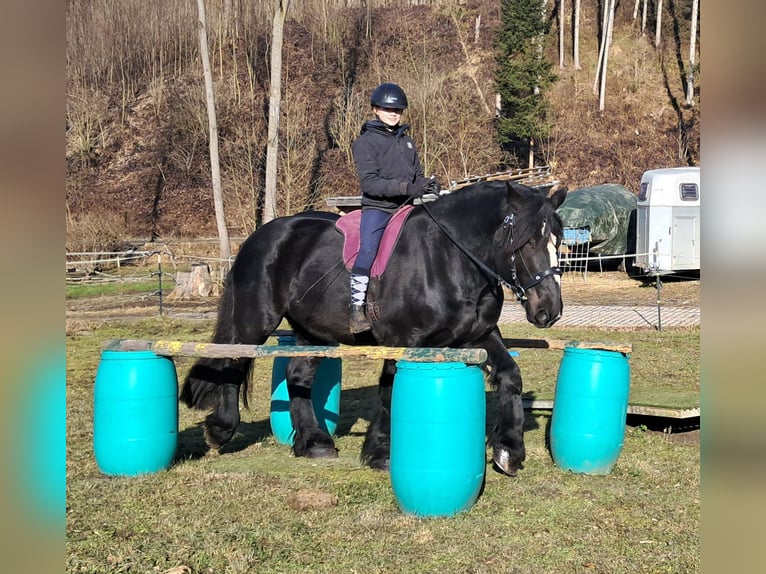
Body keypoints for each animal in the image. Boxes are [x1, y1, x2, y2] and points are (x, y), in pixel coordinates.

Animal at [183, 180, 568, 476]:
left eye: (557, 241)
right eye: (527, 241)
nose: (548, 310)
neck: (450, 259)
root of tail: (261, 235)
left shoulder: (479, 336)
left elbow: (510, 375)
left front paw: (509, 451)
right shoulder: (403, 340)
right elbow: (388, 390)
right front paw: (381, 453)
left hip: (313, 332)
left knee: (298, 376)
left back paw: (315, 443)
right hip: (256, 320)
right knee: (233, 361)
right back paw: (221, 429)